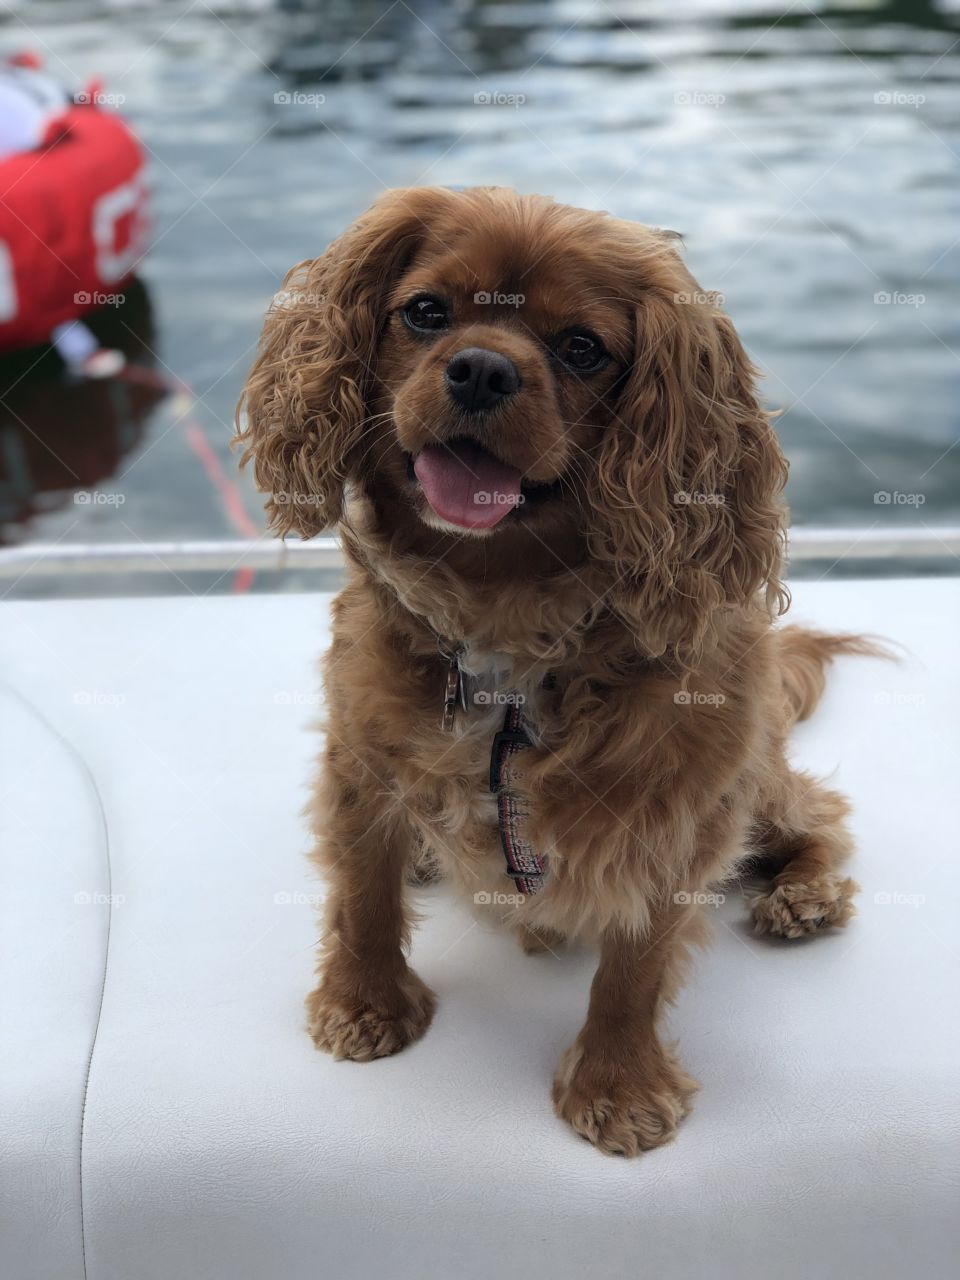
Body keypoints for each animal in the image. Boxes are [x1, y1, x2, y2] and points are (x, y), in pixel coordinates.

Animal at [239, 185, 870, 1157]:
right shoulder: (360, 758)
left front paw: (617, 1086)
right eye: (425, 312)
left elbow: (635, 966)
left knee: (819, 814)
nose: (481, 370)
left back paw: (806, 893)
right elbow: (364, 894)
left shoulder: (680, 805)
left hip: (757, 775)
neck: (503, 620)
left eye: (581, 348)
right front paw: (364, 1003)